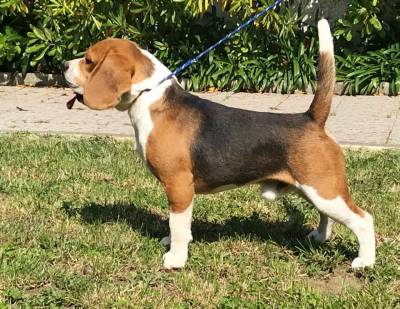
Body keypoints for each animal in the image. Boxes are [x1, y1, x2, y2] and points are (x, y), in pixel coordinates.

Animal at [65, 19, 376, 268]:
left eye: (89, 60)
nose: (63, 65)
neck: (150, 98)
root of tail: (311, 118)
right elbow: (178, 225)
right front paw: (171, 242)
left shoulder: (179, 184)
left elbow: (178, 224)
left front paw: (175, 259)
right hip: (316, 189)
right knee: (328, 215)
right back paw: (320, 236)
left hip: (324, 189)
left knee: (364, 219)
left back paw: (365, 261)